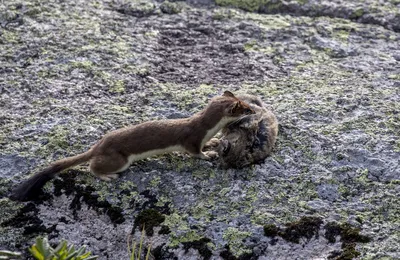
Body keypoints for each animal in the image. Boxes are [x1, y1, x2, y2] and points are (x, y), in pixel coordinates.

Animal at [10, 91, 255, 201]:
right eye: (245, 108)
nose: (254, 109)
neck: (205, 126)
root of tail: (98, 145)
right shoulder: (192, 139)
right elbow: (195, 152)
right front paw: (210, 154)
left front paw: (213, 142)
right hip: (119, 159)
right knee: (93, 167)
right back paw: (108, 176)